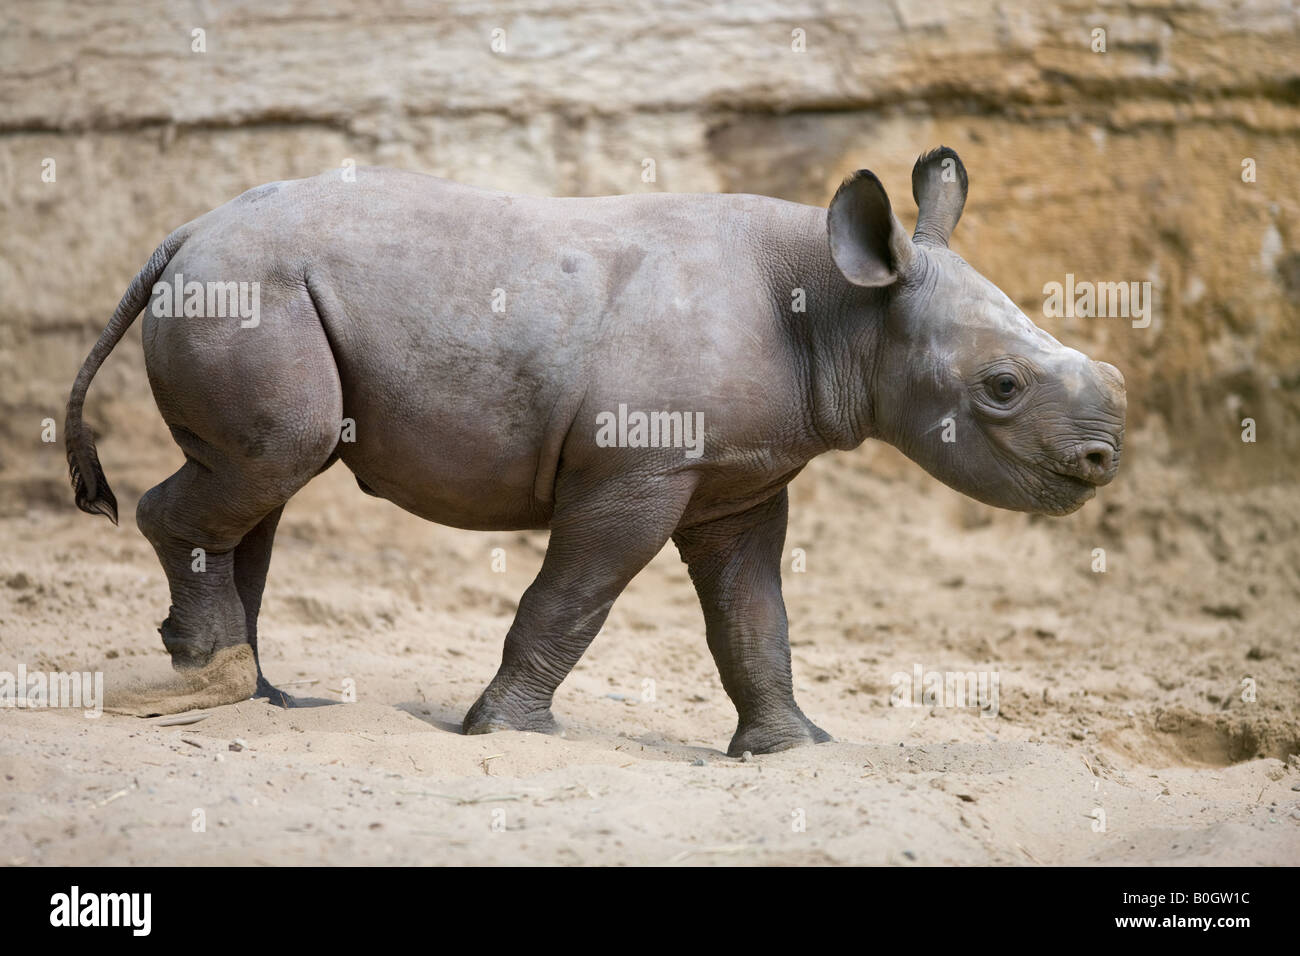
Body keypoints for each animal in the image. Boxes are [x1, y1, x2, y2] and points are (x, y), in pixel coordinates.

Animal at [68, 147, 1128, 754]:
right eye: (1002, 388)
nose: (1103, 462)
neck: (842, 307)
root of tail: (183, 234)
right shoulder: (639, 471)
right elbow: (573, 597)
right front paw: (504, 733)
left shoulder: (740, 480)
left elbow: (754, 616)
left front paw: (795, 750)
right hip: (251, 289)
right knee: (269, 464)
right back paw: (213, 679)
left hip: (252, 287)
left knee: (265, 481)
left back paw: (258, 698)